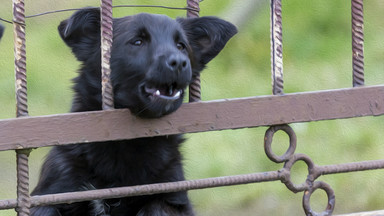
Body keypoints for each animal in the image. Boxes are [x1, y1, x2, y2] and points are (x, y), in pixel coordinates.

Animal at [30, 7, 237, 215]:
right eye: (137, 42)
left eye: (181, 46)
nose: (179, 62)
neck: (127, 143)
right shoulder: (55, 190)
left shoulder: (173, 194)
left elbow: (157, 206)